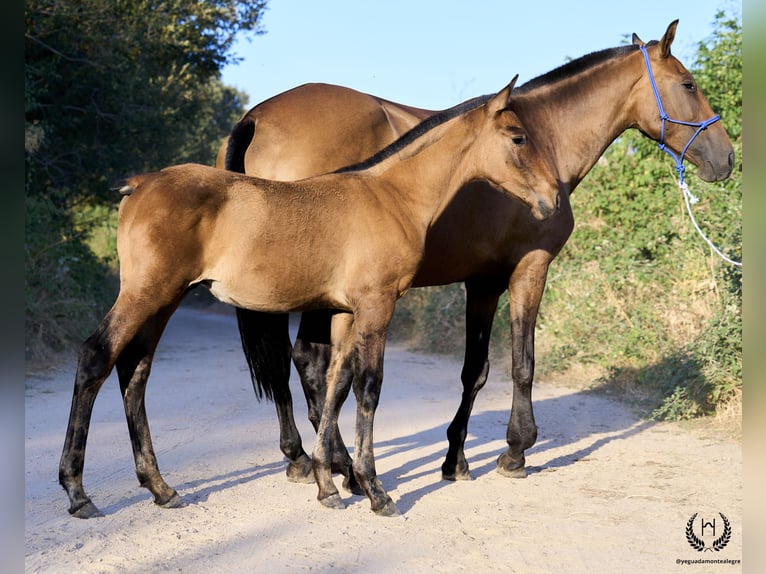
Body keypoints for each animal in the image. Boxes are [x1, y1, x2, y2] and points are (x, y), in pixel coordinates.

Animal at [58, 79, 564, 520]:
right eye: (518, 137)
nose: (553, 199)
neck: (390, 195)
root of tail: (141, 183)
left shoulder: (345, 312)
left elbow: (337, 383)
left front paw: (328, 484)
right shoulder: (378, 305)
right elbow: (368, 388)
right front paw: (373, 489)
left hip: (164, 300)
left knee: (135, 370)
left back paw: (161, 488)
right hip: (147, 293)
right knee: (96, 357)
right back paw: (79, 493)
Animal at [219, 21, 736, 490]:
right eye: (688, 84)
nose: (727, 158)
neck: (545, 140)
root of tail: (258, 116)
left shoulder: (482, 281)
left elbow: (476, 370)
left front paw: (456, 460)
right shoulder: (529, 269)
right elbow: (521, 363)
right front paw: (516, 451)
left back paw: (308, 460)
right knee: (310, 362)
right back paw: (337, 466)